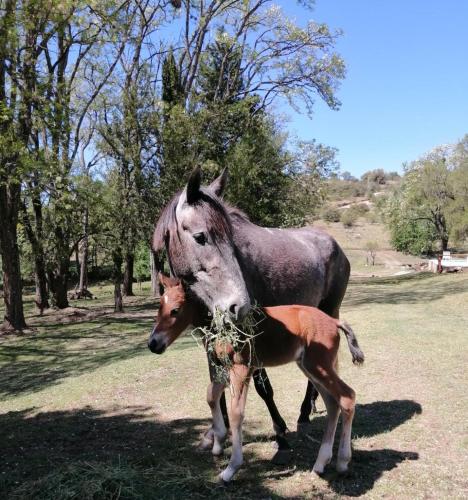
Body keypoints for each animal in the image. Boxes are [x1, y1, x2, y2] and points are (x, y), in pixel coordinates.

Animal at [150, 276, 366, 482]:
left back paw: (342, 462)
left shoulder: (241, 368)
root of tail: (334, 322)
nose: (153, 344)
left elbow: (236, 413)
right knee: (332, 403)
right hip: (310, 367)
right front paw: (218, 441)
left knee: (347, 396)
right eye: (159, 306)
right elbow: (211, 395)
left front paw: (231, 469)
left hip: (318, 366)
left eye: (175, 310)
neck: (223, 326)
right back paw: (320, 463)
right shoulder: (226, 370)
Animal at [152, 167, 350, 450]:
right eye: (200, 237)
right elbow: (216, 383)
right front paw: (216, 433)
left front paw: (279, 430)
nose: (238, 306)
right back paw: (311, 406)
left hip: (329, 312)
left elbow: (262, 386)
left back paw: (303, 411)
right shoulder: (210, 337)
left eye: (231, 239)